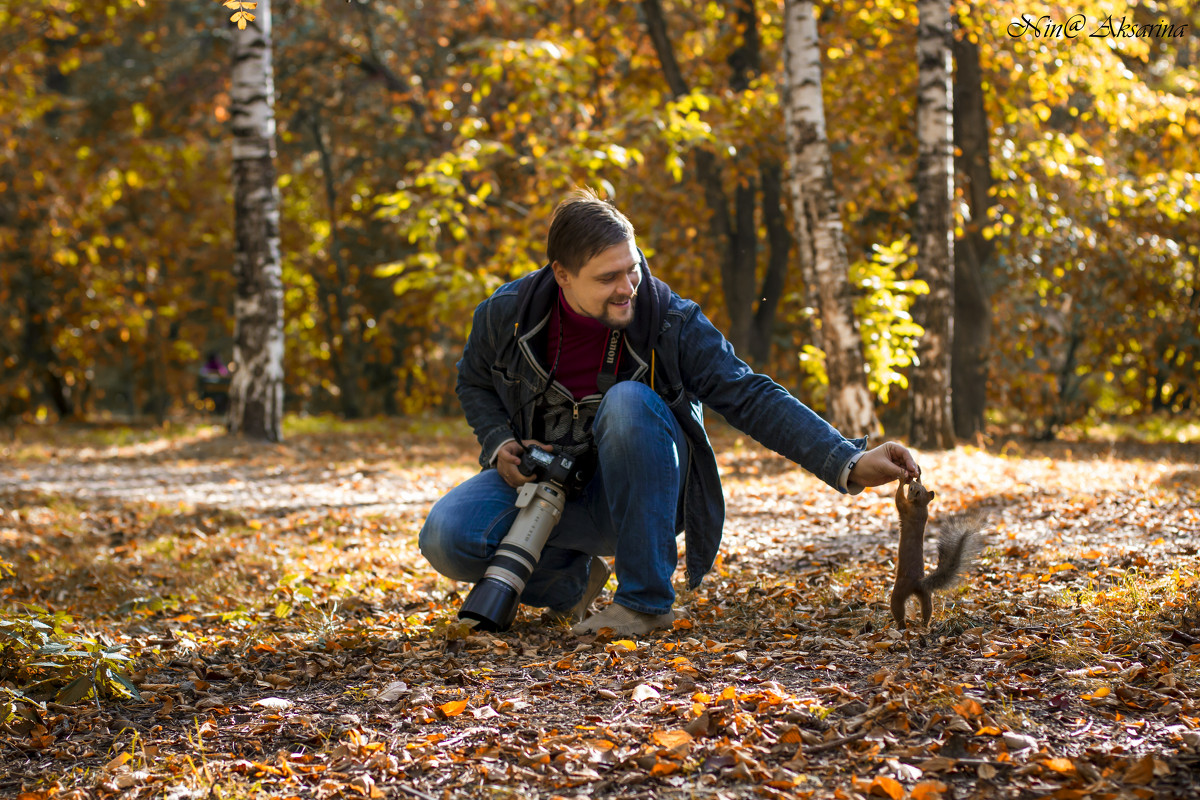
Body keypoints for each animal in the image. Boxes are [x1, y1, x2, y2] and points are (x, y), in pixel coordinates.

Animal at [892, 479, 984, 628]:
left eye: (912, 488)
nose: (912, 481)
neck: (920, 506)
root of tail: (918, 582)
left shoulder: (906, 509)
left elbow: (898, 499)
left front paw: (901, 480)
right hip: (925, 594)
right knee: (927, 609)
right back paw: (925, 626)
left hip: (899, 590)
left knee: (898, 608)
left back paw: (901, 627)